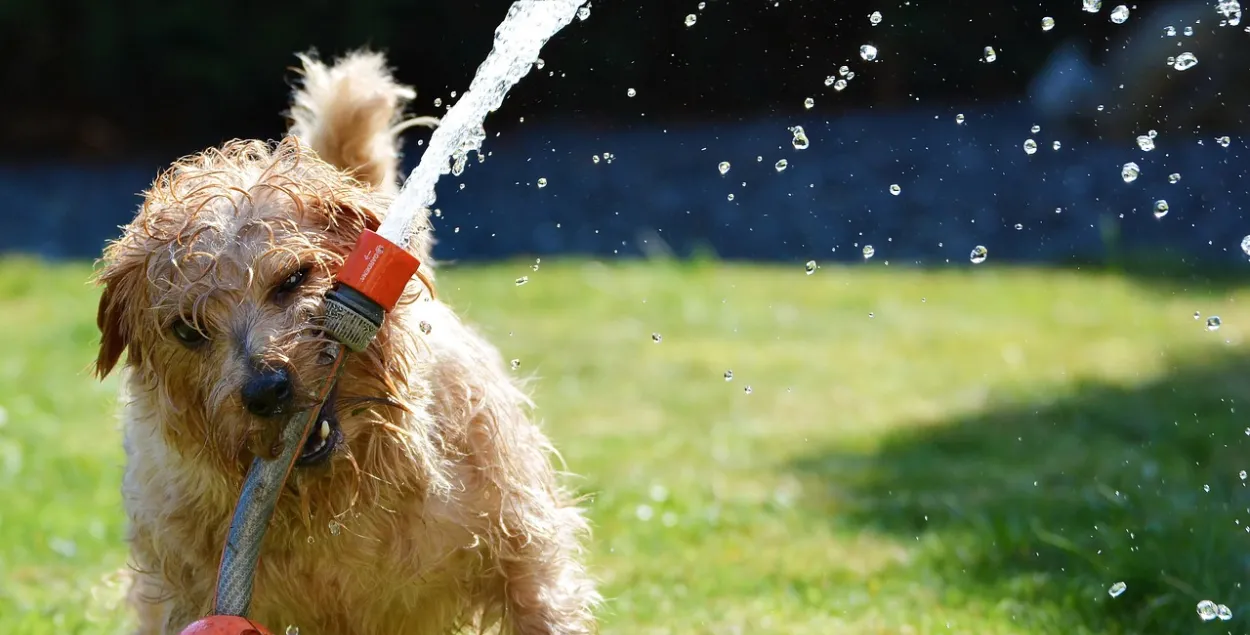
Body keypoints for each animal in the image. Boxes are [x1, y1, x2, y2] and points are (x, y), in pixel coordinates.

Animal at [92, 50, 600, 635]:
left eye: (293, 278)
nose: (267, 390)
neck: (340, 496)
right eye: (187, 330)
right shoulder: (180, 589)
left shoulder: (525, 554)